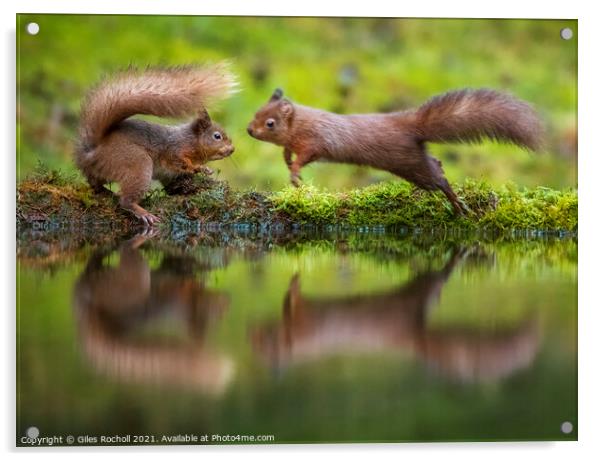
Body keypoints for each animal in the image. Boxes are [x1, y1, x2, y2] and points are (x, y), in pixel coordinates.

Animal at [246, 88, 540, 214]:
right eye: (256, 112)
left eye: (270, 123)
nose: (249, 130)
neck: (301, 125)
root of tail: (408, 123)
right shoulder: (294, 143)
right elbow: (287, 152)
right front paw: (287, 162)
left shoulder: (315, 141)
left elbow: (306, 156)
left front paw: (295, 173)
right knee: (436, 162)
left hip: (410, 163)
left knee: (439, 179)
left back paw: (458, 205)